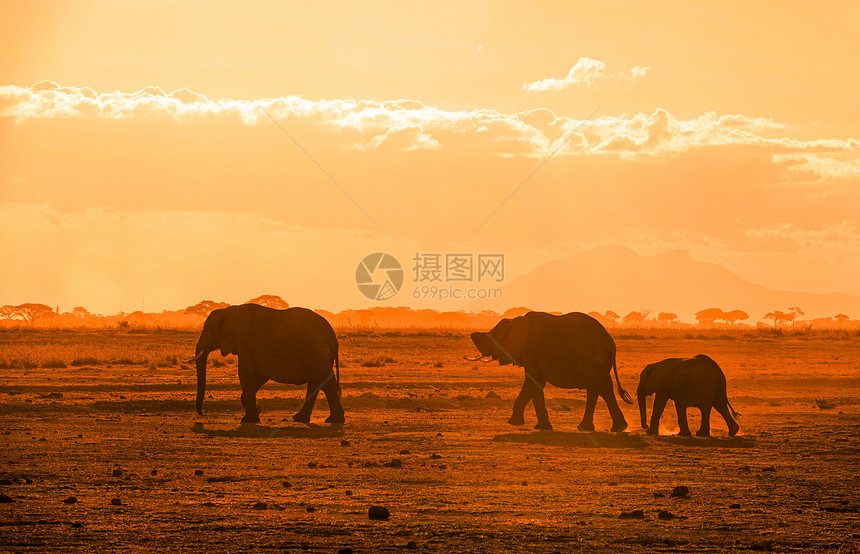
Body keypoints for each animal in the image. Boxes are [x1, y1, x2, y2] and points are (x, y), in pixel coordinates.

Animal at [186, 304, 344, 424]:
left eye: (207, 331)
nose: (201, 413)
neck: (230, 309)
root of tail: (334, 337)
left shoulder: (248, 344)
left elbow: (246, 375)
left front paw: (249, 420)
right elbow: (258, 378)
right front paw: (258, 410)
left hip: (317, 352)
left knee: (324, 380)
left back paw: (333, 420)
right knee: (317, 381)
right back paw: (303, 419)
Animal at [466, 310, 636, 432]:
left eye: (491, 337)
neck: (516, 321)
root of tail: (609, 341)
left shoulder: (531, 351)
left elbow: (535, 382)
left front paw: (541, 427)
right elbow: (532, 383)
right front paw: (515, 423)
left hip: (593, 359)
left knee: (602, 387)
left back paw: (619, 428)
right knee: (595, 388)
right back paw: (587, 428)